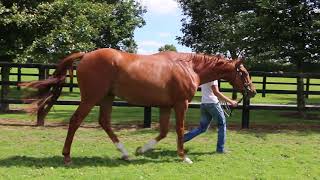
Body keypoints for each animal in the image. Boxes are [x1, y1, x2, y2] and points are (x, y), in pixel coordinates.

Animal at [21, 48, 256, 165]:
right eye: (243, 73)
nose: (252, 91)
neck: (188, 66)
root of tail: (86, 55)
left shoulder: (165, 106)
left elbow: (163, 131)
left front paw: (141, 149)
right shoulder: (181, 104)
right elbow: (179, 129)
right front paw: (184, 157)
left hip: (107, 98)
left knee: (104, 122)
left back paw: (125, 153)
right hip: (91, 98)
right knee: (75, 121)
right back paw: (67, 156)